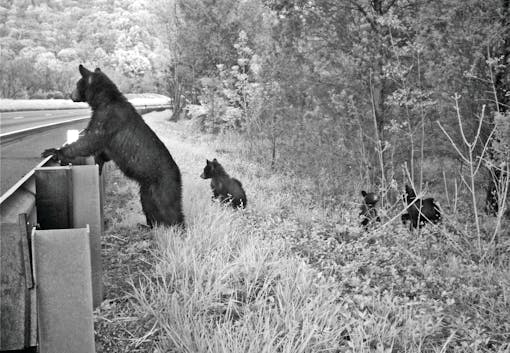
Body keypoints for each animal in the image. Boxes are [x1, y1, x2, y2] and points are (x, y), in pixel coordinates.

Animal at [41, 64, 184, 227]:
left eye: (77, 84)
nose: (70, 95)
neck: (104, 101)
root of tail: (178, 173)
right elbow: (103, 151)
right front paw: (99, 162)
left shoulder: (107, 118)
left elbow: (90, 140)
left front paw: (54, 151)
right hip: (147, 187)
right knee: (149, 204)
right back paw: (149, 225)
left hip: (164, 184)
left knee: (168, 207)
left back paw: (177, 227)